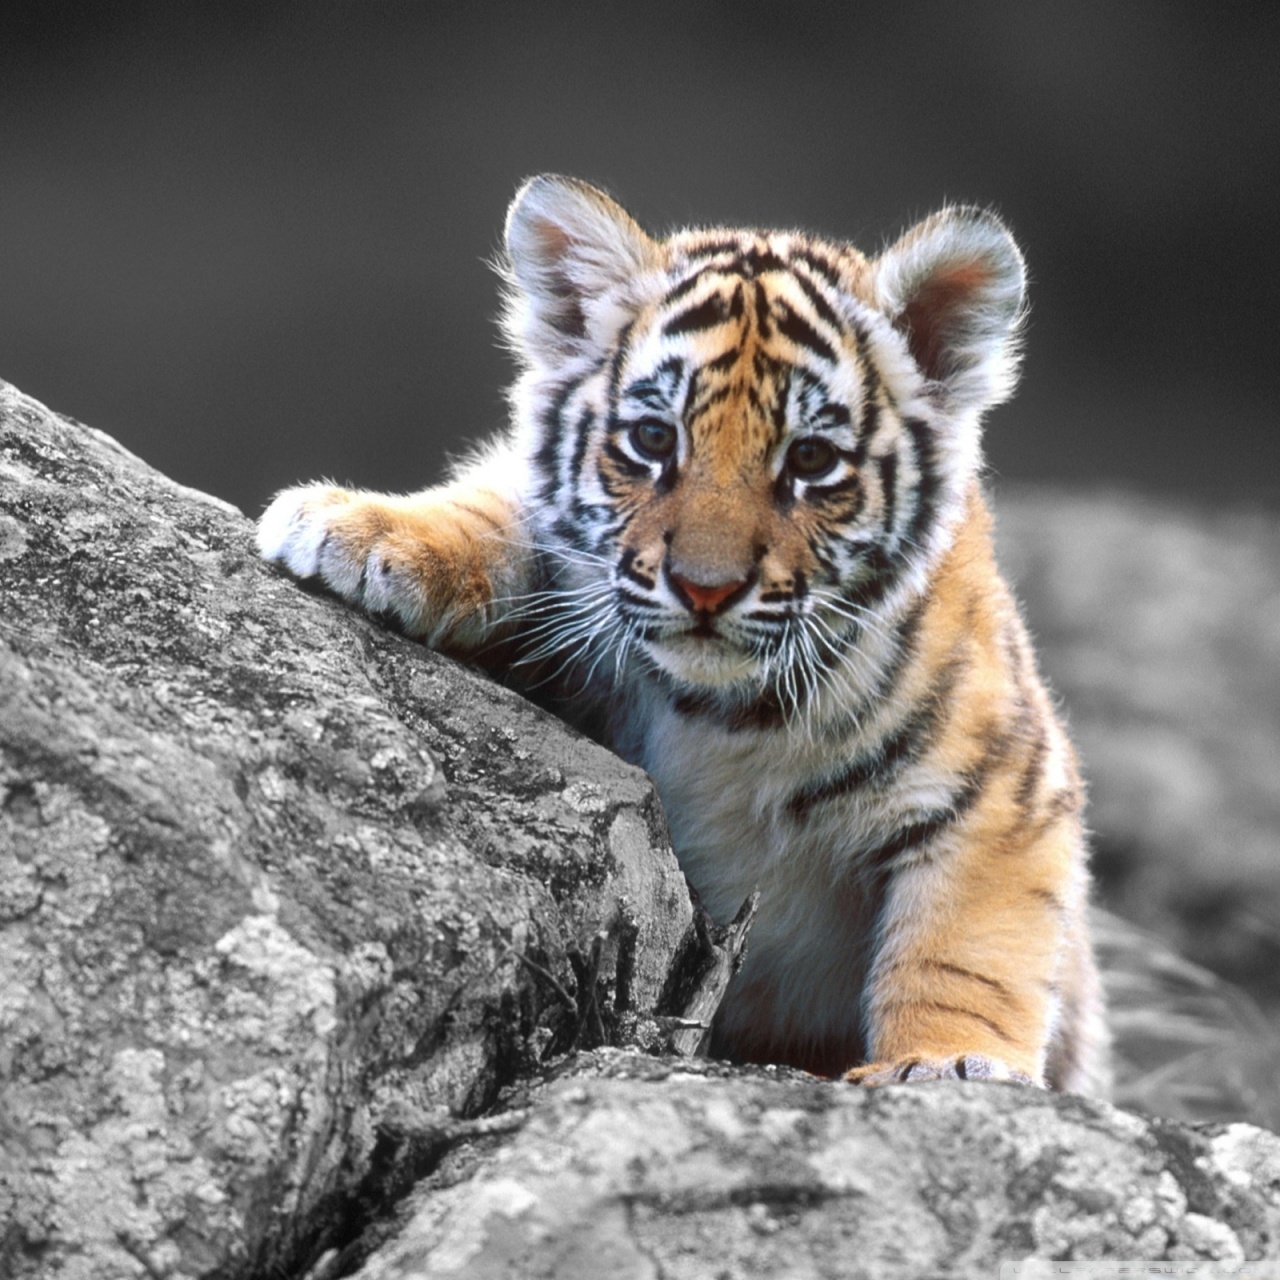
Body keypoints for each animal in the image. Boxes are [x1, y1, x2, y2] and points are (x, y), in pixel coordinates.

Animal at [257, 175, 1109, 1094]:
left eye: (811, 460)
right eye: (653, 439)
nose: (706, 587)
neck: (724, 715)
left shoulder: (1005, 793)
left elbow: (963, 952)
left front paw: (947, 1064)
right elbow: (500, 508)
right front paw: (357, 528)